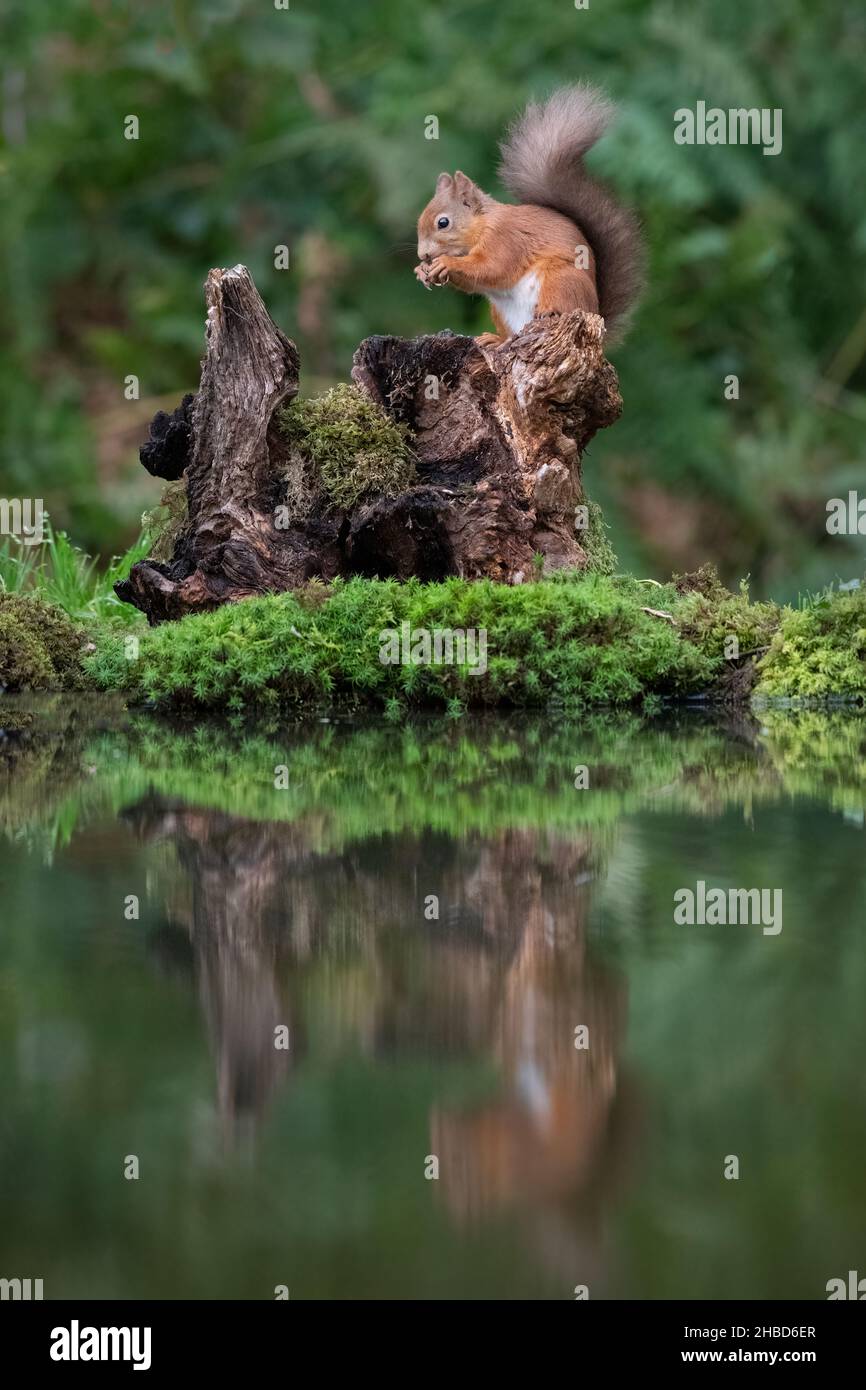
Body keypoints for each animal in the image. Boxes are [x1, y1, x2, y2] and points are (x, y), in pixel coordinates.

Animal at [417, 84, 647, 344]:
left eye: (443, 223)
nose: (423, 255)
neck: (484, 224)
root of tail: (595, 312)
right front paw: (422, 271)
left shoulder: (505, 239)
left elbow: (492, 267)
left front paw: (445, 262)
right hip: (501, 311)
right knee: (509, 336)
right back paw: (496, 340)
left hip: (561, 279)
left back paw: (549, 311)